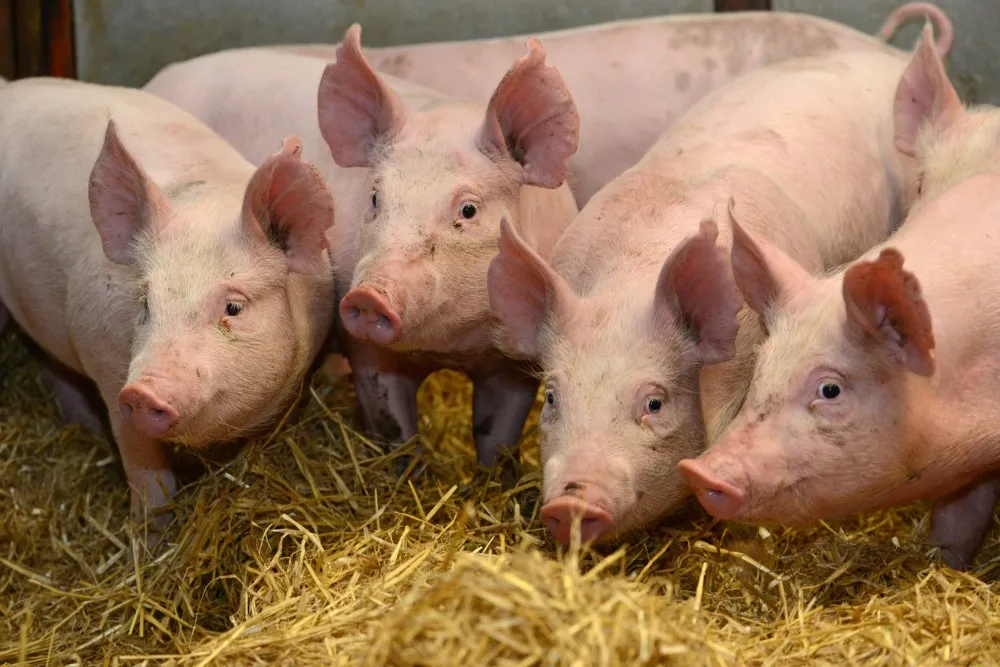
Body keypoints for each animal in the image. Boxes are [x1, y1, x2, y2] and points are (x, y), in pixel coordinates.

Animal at [0, 78, 336, 537]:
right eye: (145, 302)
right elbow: (145, 470)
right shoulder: (108, 371)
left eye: (233, 307)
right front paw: (153, 540)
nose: (142, 391)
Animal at [143, 25, 579, 483]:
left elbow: (498, 435)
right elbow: (394, 427)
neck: (455, 346)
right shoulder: (367, 351)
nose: (369, 296)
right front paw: (406, 476)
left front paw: (495, 480)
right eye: (374, 198)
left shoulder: (514, 363)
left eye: (468, 210)